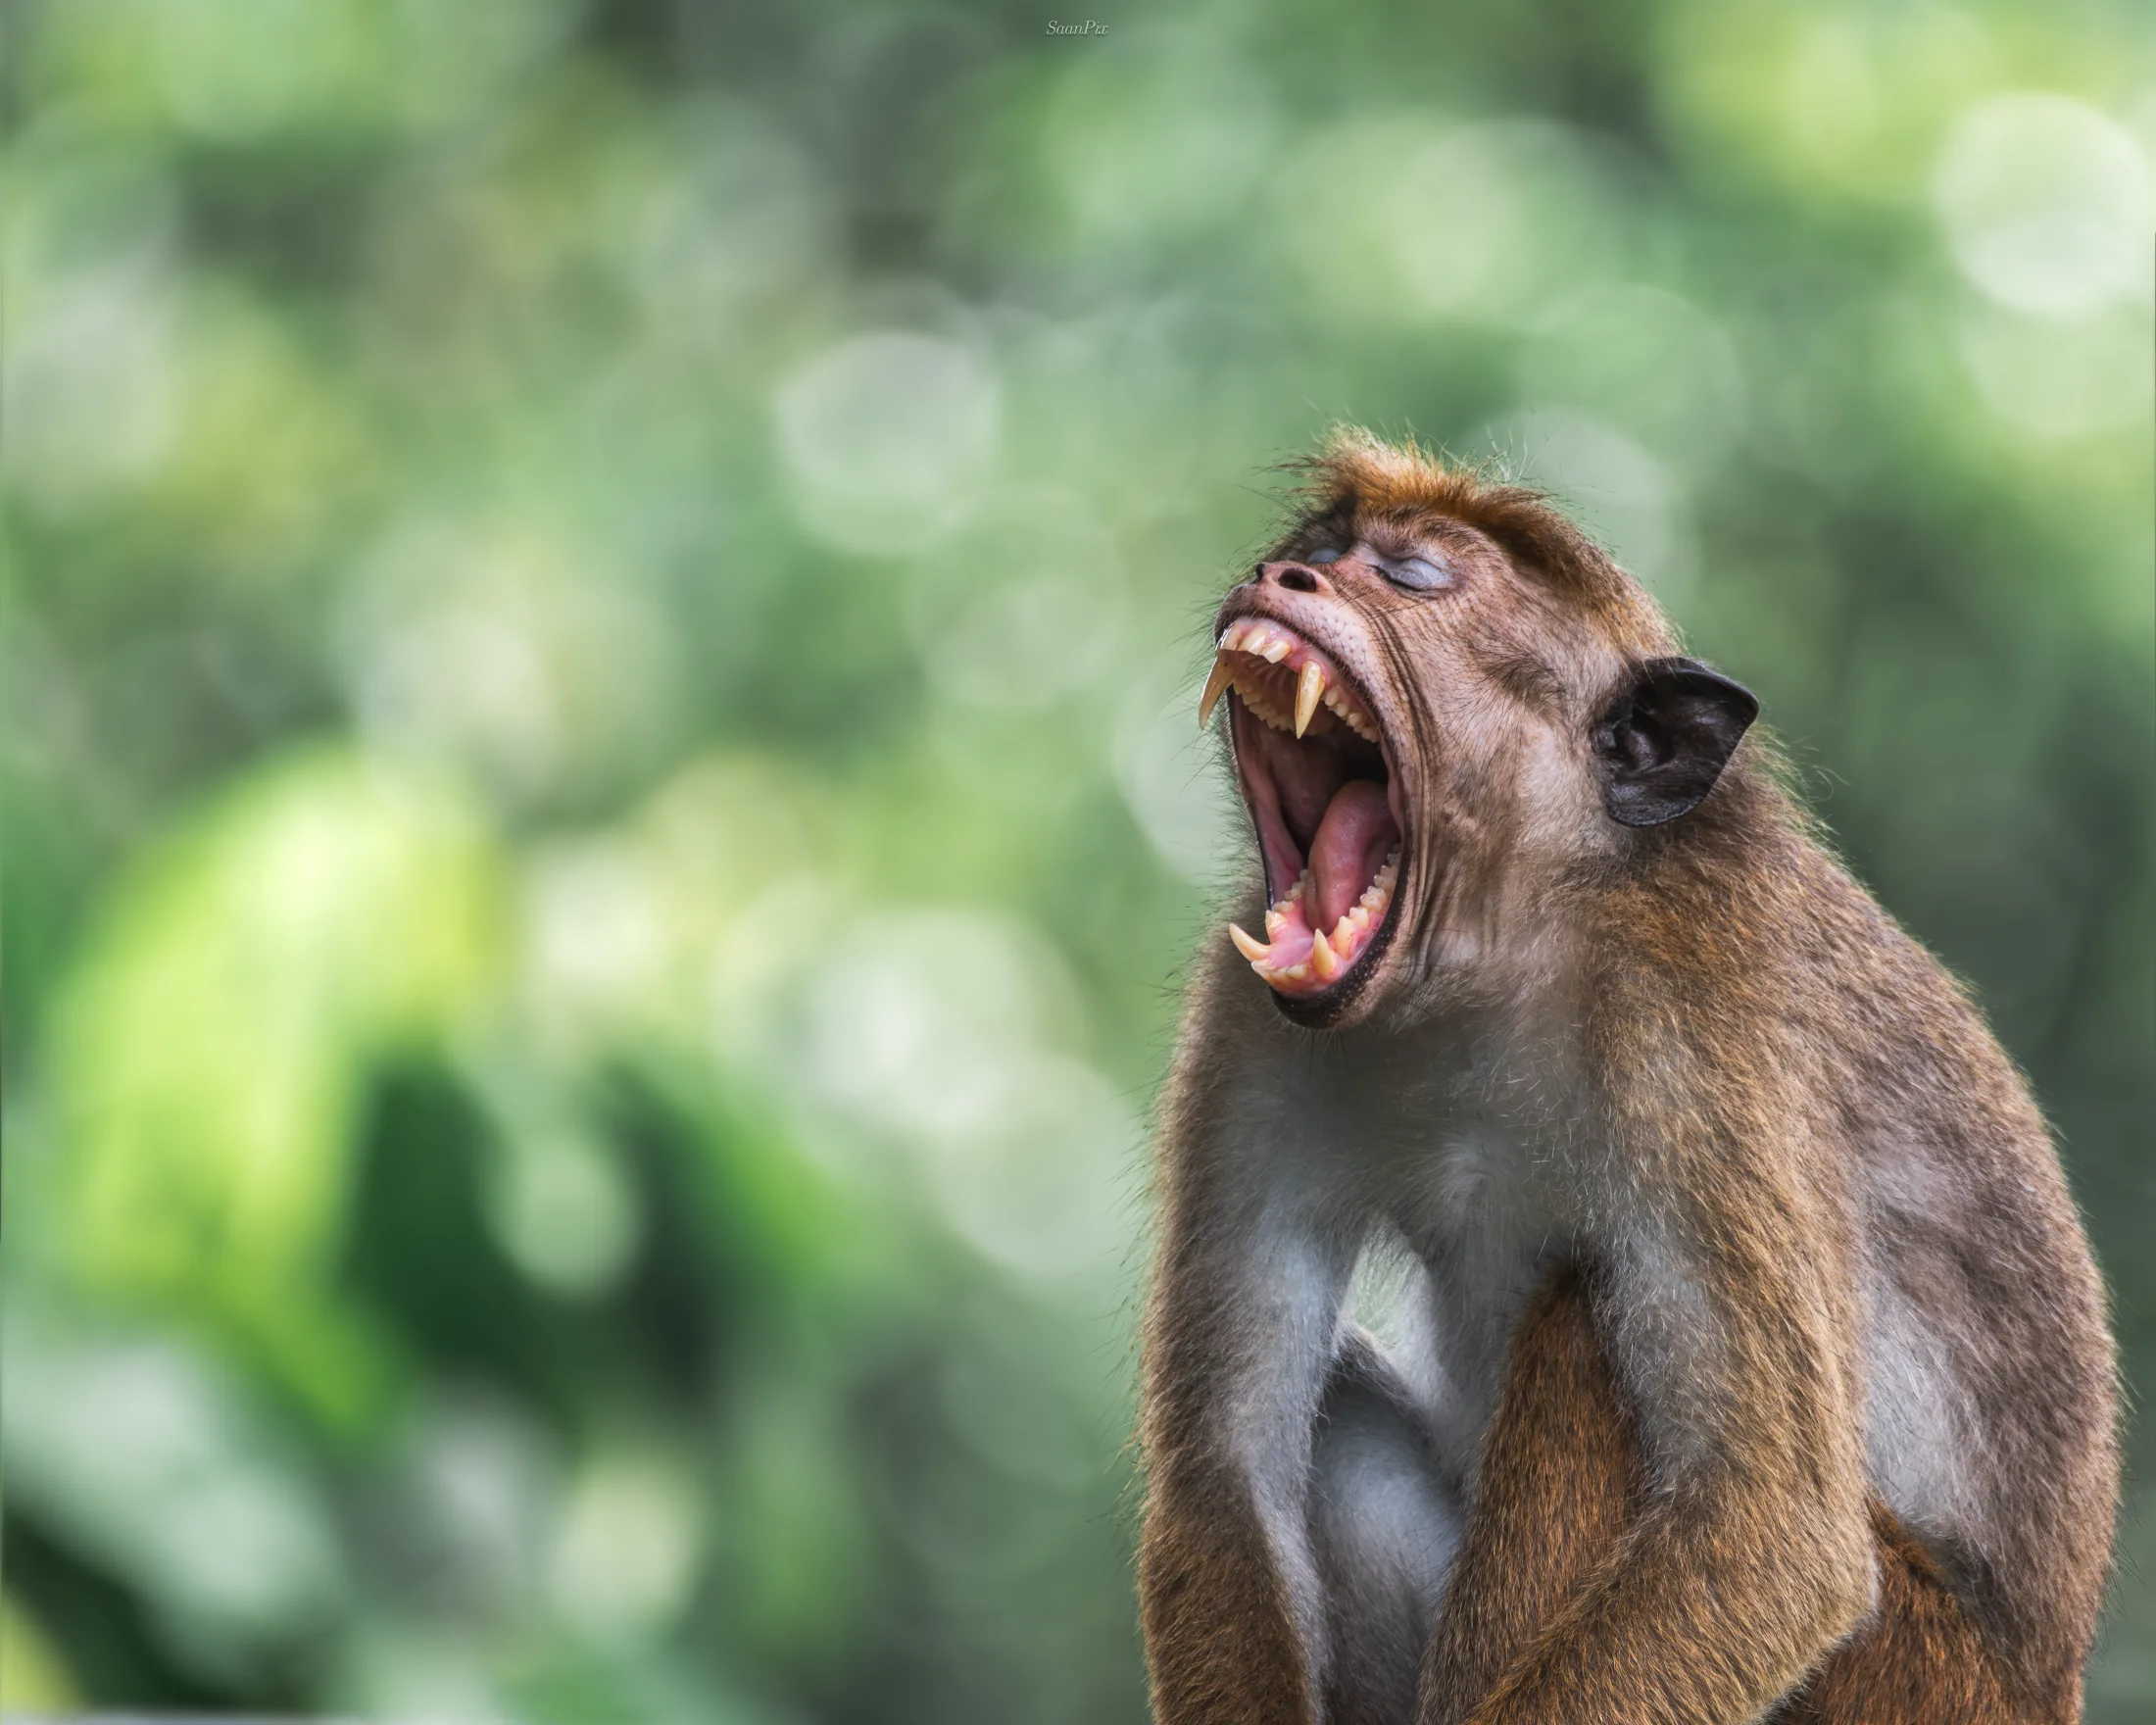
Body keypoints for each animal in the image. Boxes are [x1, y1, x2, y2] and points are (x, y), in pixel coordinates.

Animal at [1136, 430, 2118, 1725]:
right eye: (1319, 550)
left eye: (1408, 576)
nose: (1277, 578)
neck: (1503, 949)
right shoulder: (1250, 1018)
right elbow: (1227, 1477)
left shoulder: (1698, 1028)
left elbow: (1772, 1531)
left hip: (1916, 1681)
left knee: (1579, 1323)